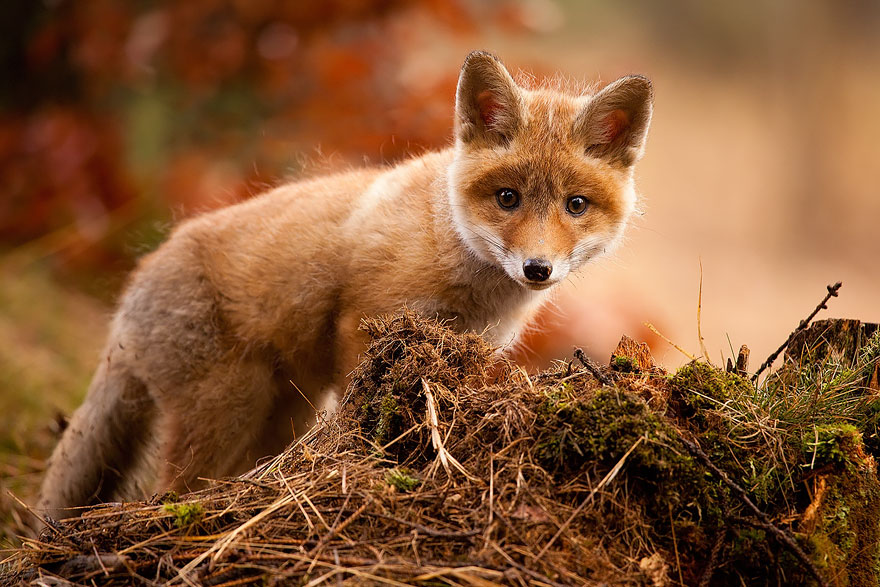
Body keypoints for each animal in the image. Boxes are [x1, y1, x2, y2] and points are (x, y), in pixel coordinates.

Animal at [36, 50, 652, 520]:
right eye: (508, 198)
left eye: (576, 205)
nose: (537, 269)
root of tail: (128, 296)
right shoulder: (365, 322)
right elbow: (365, 406)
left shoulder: (473, 348)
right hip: (228, 407)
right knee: (174, 490)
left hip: (284, 413)